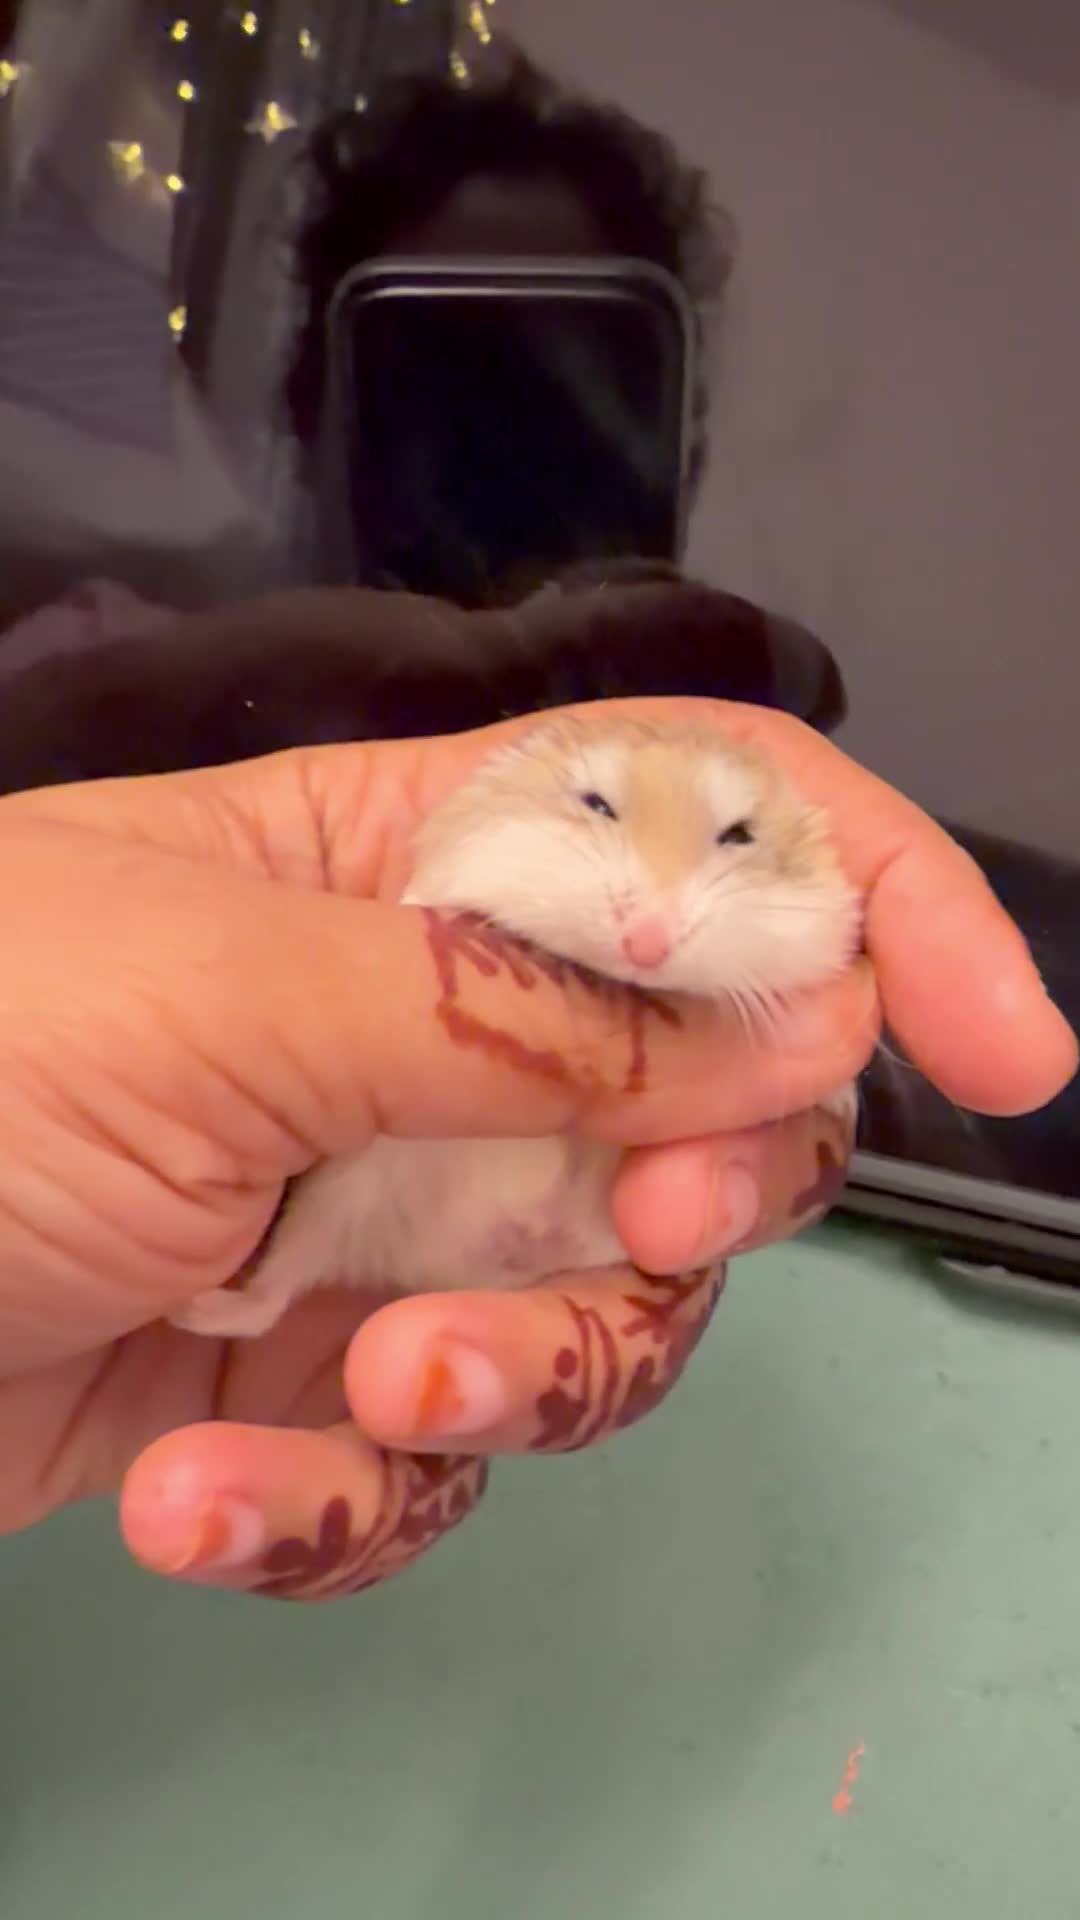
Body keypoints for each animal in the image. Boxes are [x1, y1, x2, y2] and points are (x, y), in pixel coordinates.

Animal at [170, 714, 862, 1339]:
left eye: (739, 835)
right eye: (597, 804)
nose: (646, 945)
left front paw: (830, 1098)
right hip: (337, 1192)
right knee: (273, 1295)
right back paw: (195, 1308)